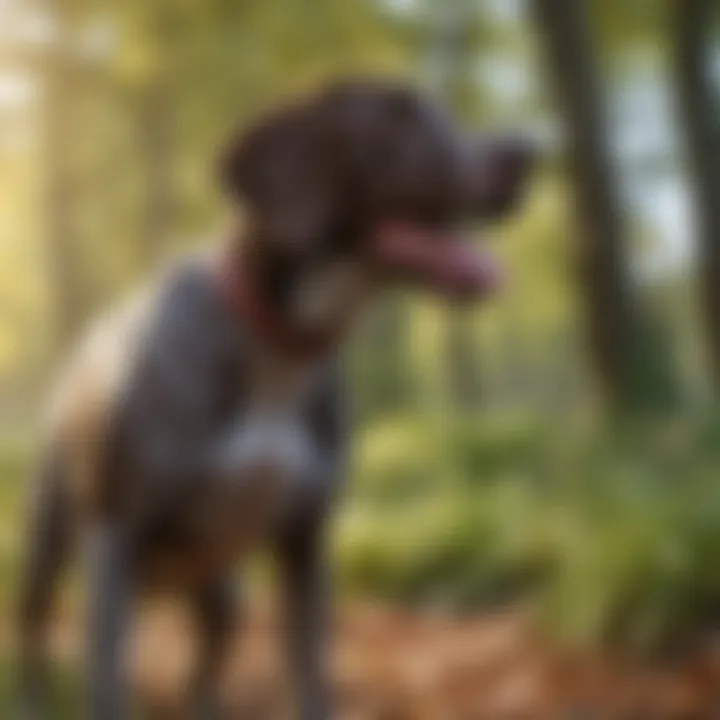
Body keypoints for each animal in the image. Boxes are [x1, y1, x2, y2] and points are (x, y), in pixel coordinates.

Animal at [16, 76, 536, 716]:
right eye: (395, 116)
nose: (525, 153)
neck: (278, 347)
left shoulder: (305, 542)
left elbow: (312, 677)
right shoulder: (117, 536)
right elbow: (107, 688)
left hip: (221, 589)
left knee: (207, 661)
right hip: (52, 543)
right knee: (34, 627)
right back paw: (31, 696)